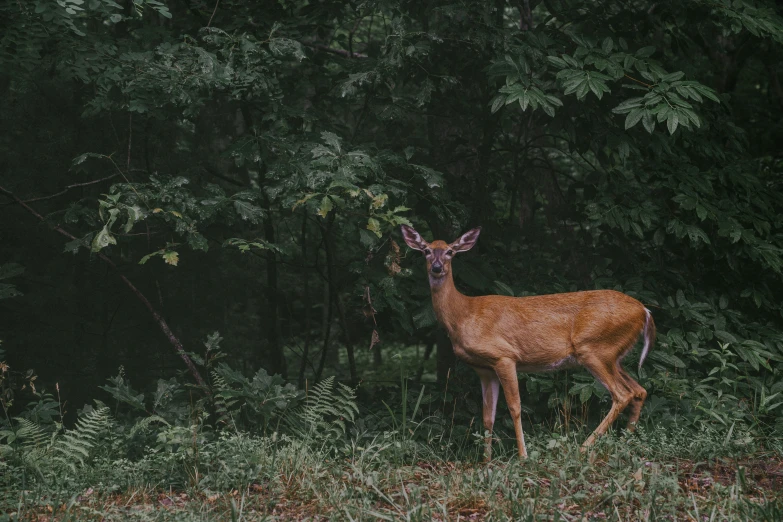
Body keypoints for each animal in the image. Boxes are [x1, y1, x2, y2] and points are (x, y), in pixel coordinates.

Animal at [402, 223, 660, 460]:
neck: (464, 314)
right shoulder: (484, 369)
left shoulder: (504, 356)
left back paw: (583, 448)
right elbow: (487, 416)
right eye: (426, 250)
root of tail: (644, 311)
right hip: (613, 356)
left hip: (594, 349)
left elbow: (514, 408)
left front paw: (523, 456)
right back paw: (625, 444)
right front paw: (486, 461)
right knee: (639, 390)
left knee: (622, 394)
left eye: (450, 252)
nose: (437, 267)